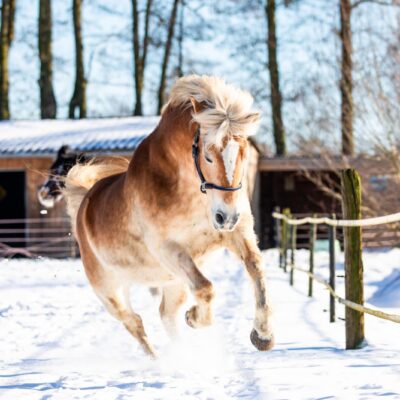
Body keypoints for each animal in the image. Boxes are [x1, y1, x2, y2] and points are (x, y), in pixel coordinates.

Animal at [64, 76, 274, 358]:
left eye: (243, 153)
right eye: (208, 155)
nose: (226, 217)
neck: (192, 194)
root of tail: (85, 203)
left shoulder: (237, 234)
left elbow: (255, 269)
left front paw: (263, 336)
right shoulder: (168, 249)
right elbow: (206, 289)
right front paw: (195, 318)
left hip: (172, 282)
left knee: (165, 315)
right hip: (110, 291)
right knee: (134, 322)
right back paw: (160, 361)